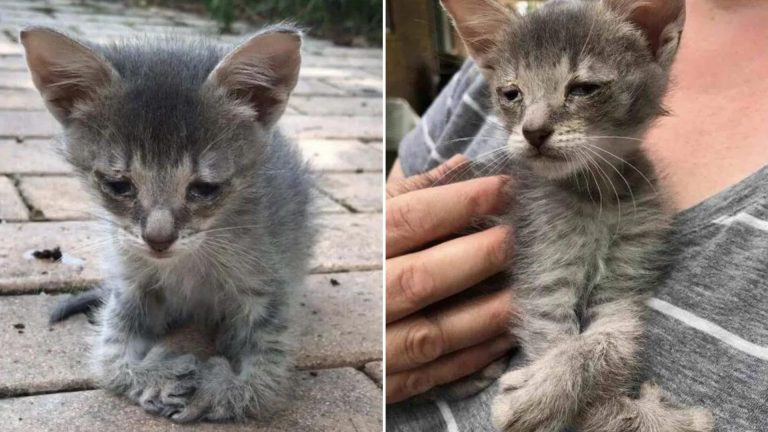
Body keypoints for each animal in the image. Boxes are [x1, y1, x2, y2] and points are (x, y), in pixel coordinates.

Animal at [21, 26, 316, 422]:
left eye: (205, 188)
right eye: (119, 185)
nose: (158, 239)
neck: (189, 266)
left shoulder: (269, 283)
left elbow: (264, 378)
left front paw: (219, 390)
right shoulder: (131, 280)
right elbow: (109, 359)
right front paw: (153, 375)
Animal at [440, 0, 716, 430]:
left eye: (583, 88)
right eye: (511, 93)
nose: (533, 131)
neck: (597, 197)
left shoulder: (625, 284)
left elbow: (610, 343)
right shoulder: (543, 275)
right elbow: (557, 343)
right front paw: (544, 397)